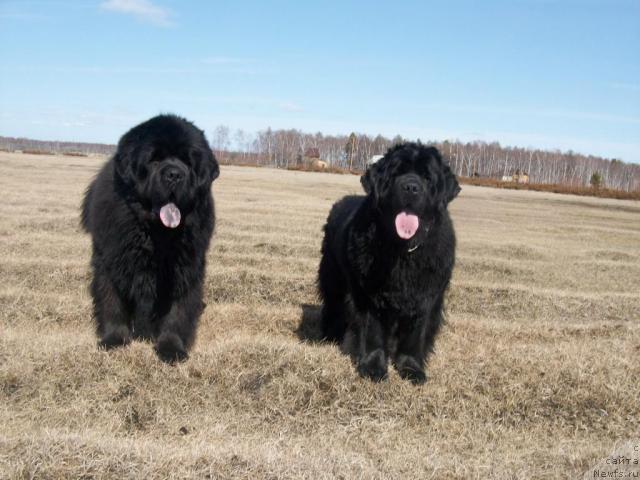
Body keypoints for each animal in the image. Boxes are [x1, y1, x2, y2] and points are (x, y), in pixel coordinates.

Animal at [82, 114, 220, 362]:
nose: (175, 174)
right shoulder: (111, 261)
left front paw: (171, 348)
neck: (155, 234)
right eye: (154, 160)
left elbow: (178, 310)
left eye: (187, 162)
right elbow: (112, 302)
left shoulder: (186, 267)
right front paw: (114, 340)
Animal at [318, 142, 460, 382]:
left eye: (427, 178)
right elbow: (372, 332)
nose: (411, 187)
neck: (402, 251)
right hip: (332, 278)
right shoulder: (366, 295)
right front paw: (373, 367)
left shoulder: (426, 297)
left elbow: (415, 336)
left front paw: (412, 368)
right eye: (395, 175)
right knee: (332, 306)